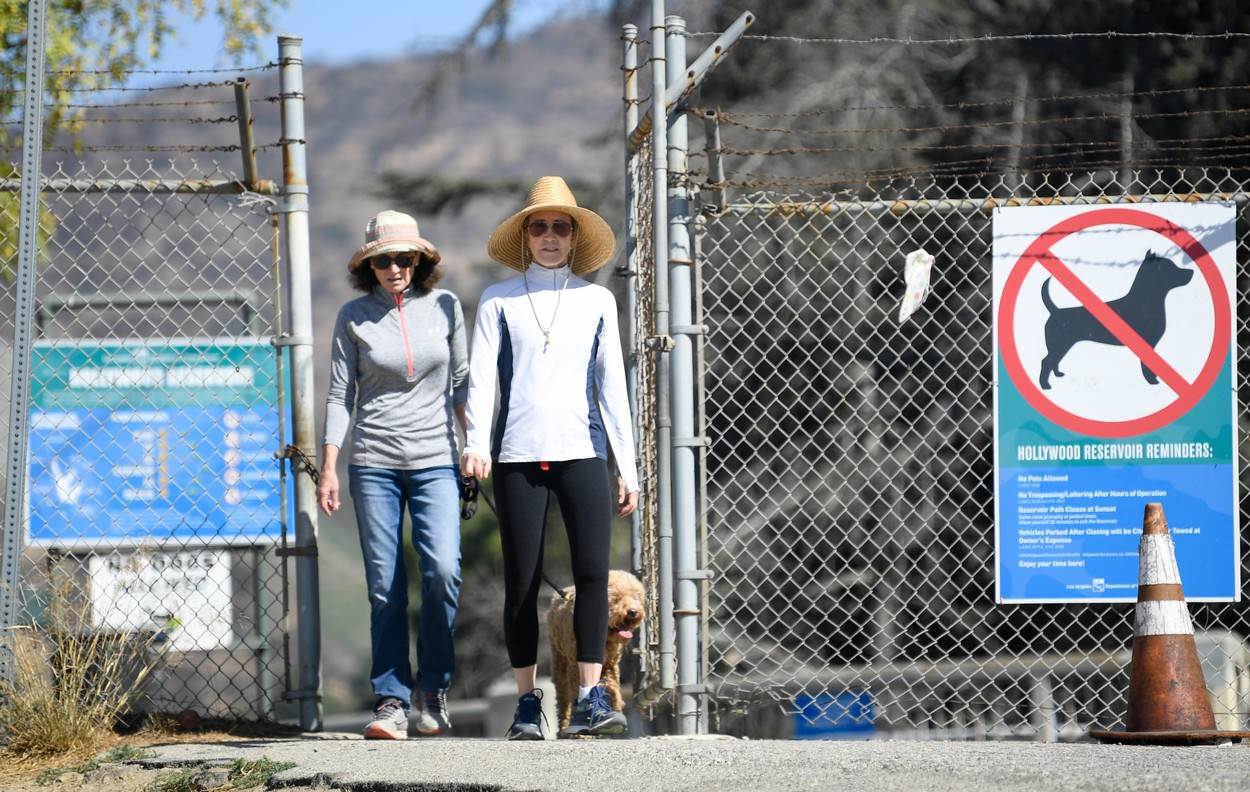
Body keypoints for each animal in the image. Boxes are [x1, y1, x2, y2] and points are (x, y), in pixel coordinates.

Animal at [545, 569, 645, 729]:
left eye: (636, 598)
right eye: (616, 598)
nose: (633, 611)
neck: (605, 635)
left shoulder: (610, 664)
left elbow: (612, 684)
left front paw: (615, 706)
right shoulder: (575, 665)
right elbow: (577, 688)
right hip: (559, 660)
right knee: (563, 695)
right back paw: (565, 724)